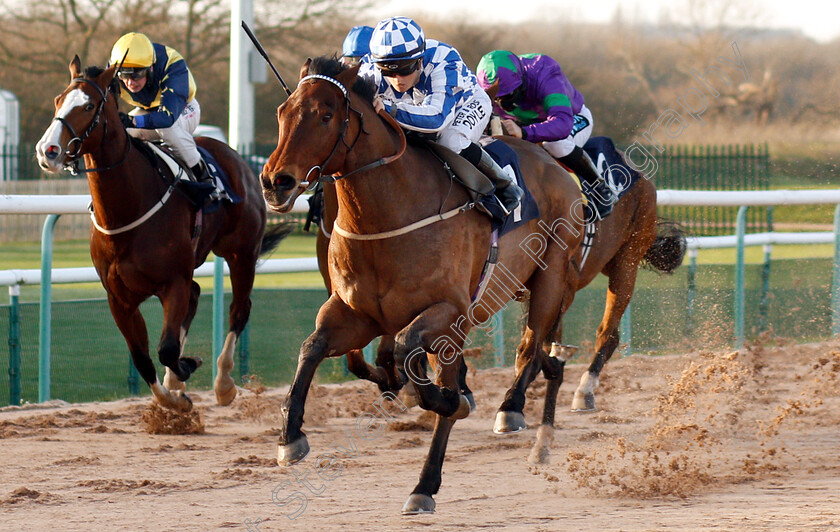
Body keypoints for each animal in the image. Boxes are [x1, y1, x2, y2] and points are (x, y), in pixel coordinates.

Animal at [262, 58, 584, 516]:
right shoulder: (355, 313)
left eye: (325, 115)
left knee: (532, 350)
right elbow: (313, 348)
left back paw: (497, 420)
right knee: (546, 359)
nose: (276, 182)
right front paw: (290, 437)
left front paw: (442, 398)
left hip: (550, 278)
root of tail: (556, 167)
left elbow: (408, 352)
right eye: (282, 112)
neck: (387, 215)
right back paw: (536, 445)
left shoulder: (449, 314)